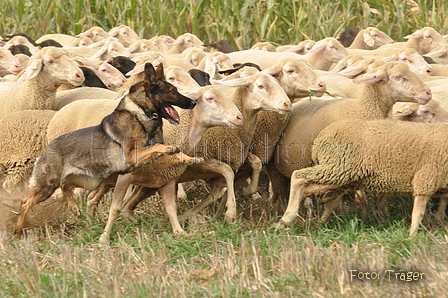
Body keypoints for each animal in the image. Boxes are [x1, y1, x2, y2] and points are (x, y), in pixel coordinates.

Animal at [15, 62, 200, 233]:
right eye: (172, 90)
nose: (193, 102)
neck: (140, 115)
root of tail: (46, 151)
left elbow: (173, 153)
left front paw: (192, 158)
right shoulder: (132, 156)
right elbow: (159, 146)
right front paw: (170, 149)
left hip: (88, 181)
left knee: (66, 187)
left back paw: (74, 209)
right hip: (47, 186)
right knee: (25, 202)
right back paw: (18, 229)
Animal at [276, 117, 448, 236]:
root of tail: (320, 138)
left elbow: (441, 207)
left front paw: (438, 224)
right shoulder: (427, 177)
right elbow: (418, 213)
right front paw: (411, 237)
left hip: (343, 178)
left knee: (310, 189)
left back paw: (303, 222)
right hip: (338, 168)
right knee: (298, 176)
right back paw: (287, 218)